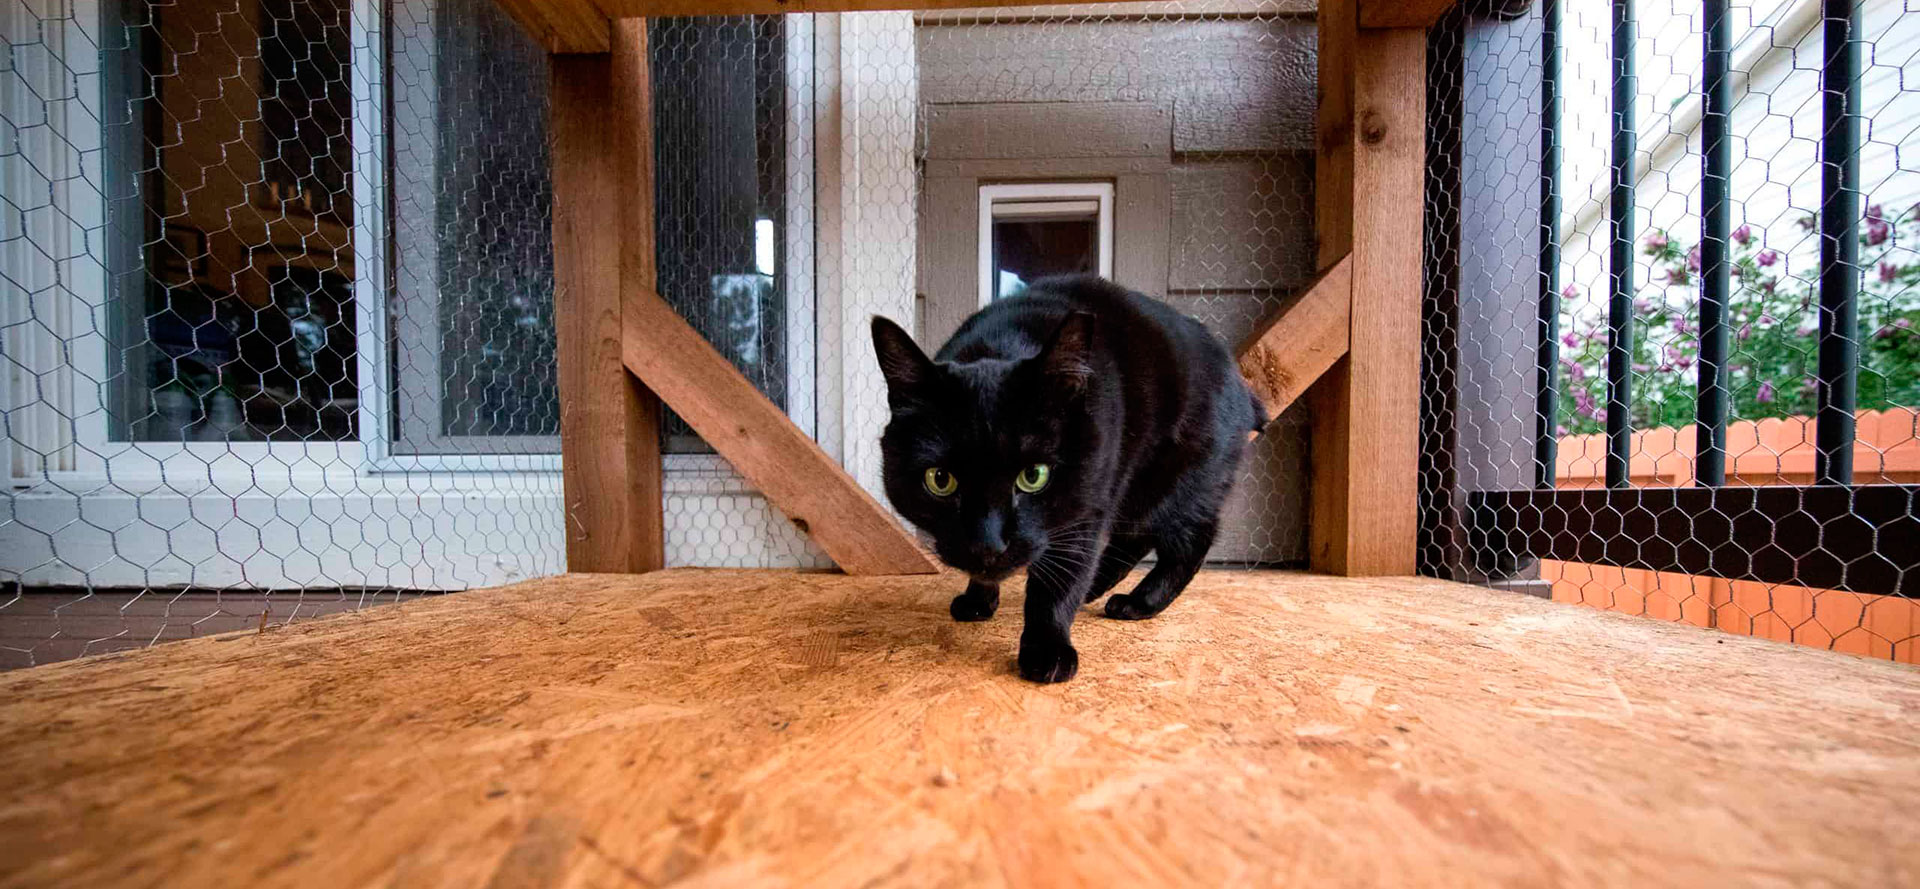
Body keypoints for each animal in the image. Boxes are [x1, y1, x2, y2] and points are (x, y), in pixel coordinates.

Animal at [867, 274, 1259, 687]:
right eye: (940, 480)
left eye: (1034, 476)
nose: (988, 545)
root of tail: (1242, 384)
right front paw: (978, 598)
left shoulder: (1082, 508)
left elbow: (1059, 581)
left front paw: (1047, 649)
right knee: (1133, 538)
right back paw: (1098, 588)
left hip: (1177, 481)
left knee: (1189, 539)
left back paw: (1138, 602)